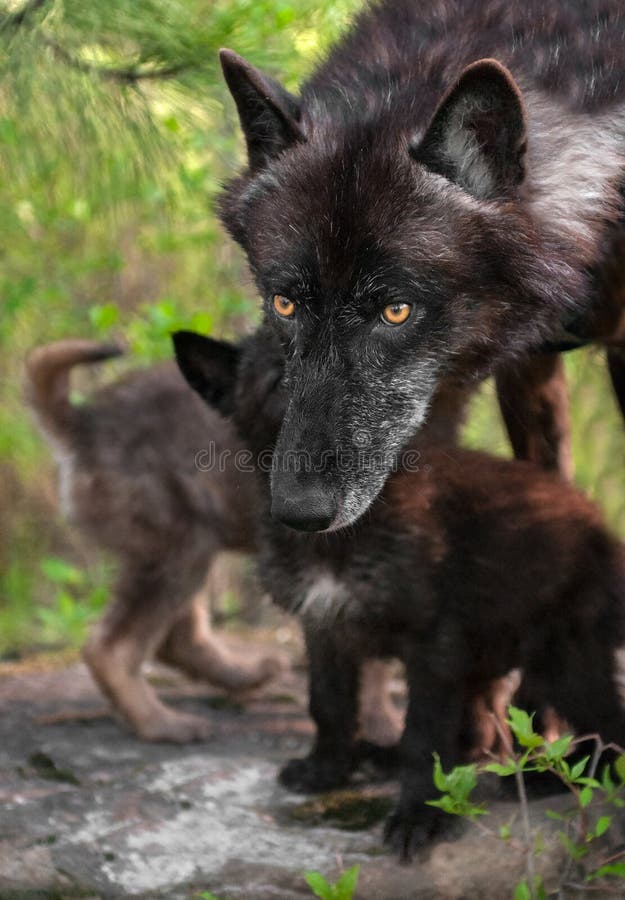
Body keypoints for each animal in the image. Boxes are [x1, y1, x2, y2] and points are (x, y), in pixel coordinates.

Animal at [25, 339, 405, 744]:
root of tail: (84, 425)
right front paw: (385, 728)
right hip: (179, 544)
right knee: (113, 649)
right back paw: (162, 723)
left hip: (188, 544)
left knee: (176, 638)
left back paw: (243, 676)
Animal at [174, 325, 625, 859]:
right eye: (281, 380)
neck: (338, 533)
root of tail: (599, 526)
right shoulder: (325, 629)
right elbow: (328, 704)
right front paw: (327, 770)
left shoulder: (432, 645)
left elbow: (423, 734)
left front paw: (419, 815)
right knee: (483, 730)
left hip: (566, 659)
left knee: (606, 725)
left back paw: (554, 777)